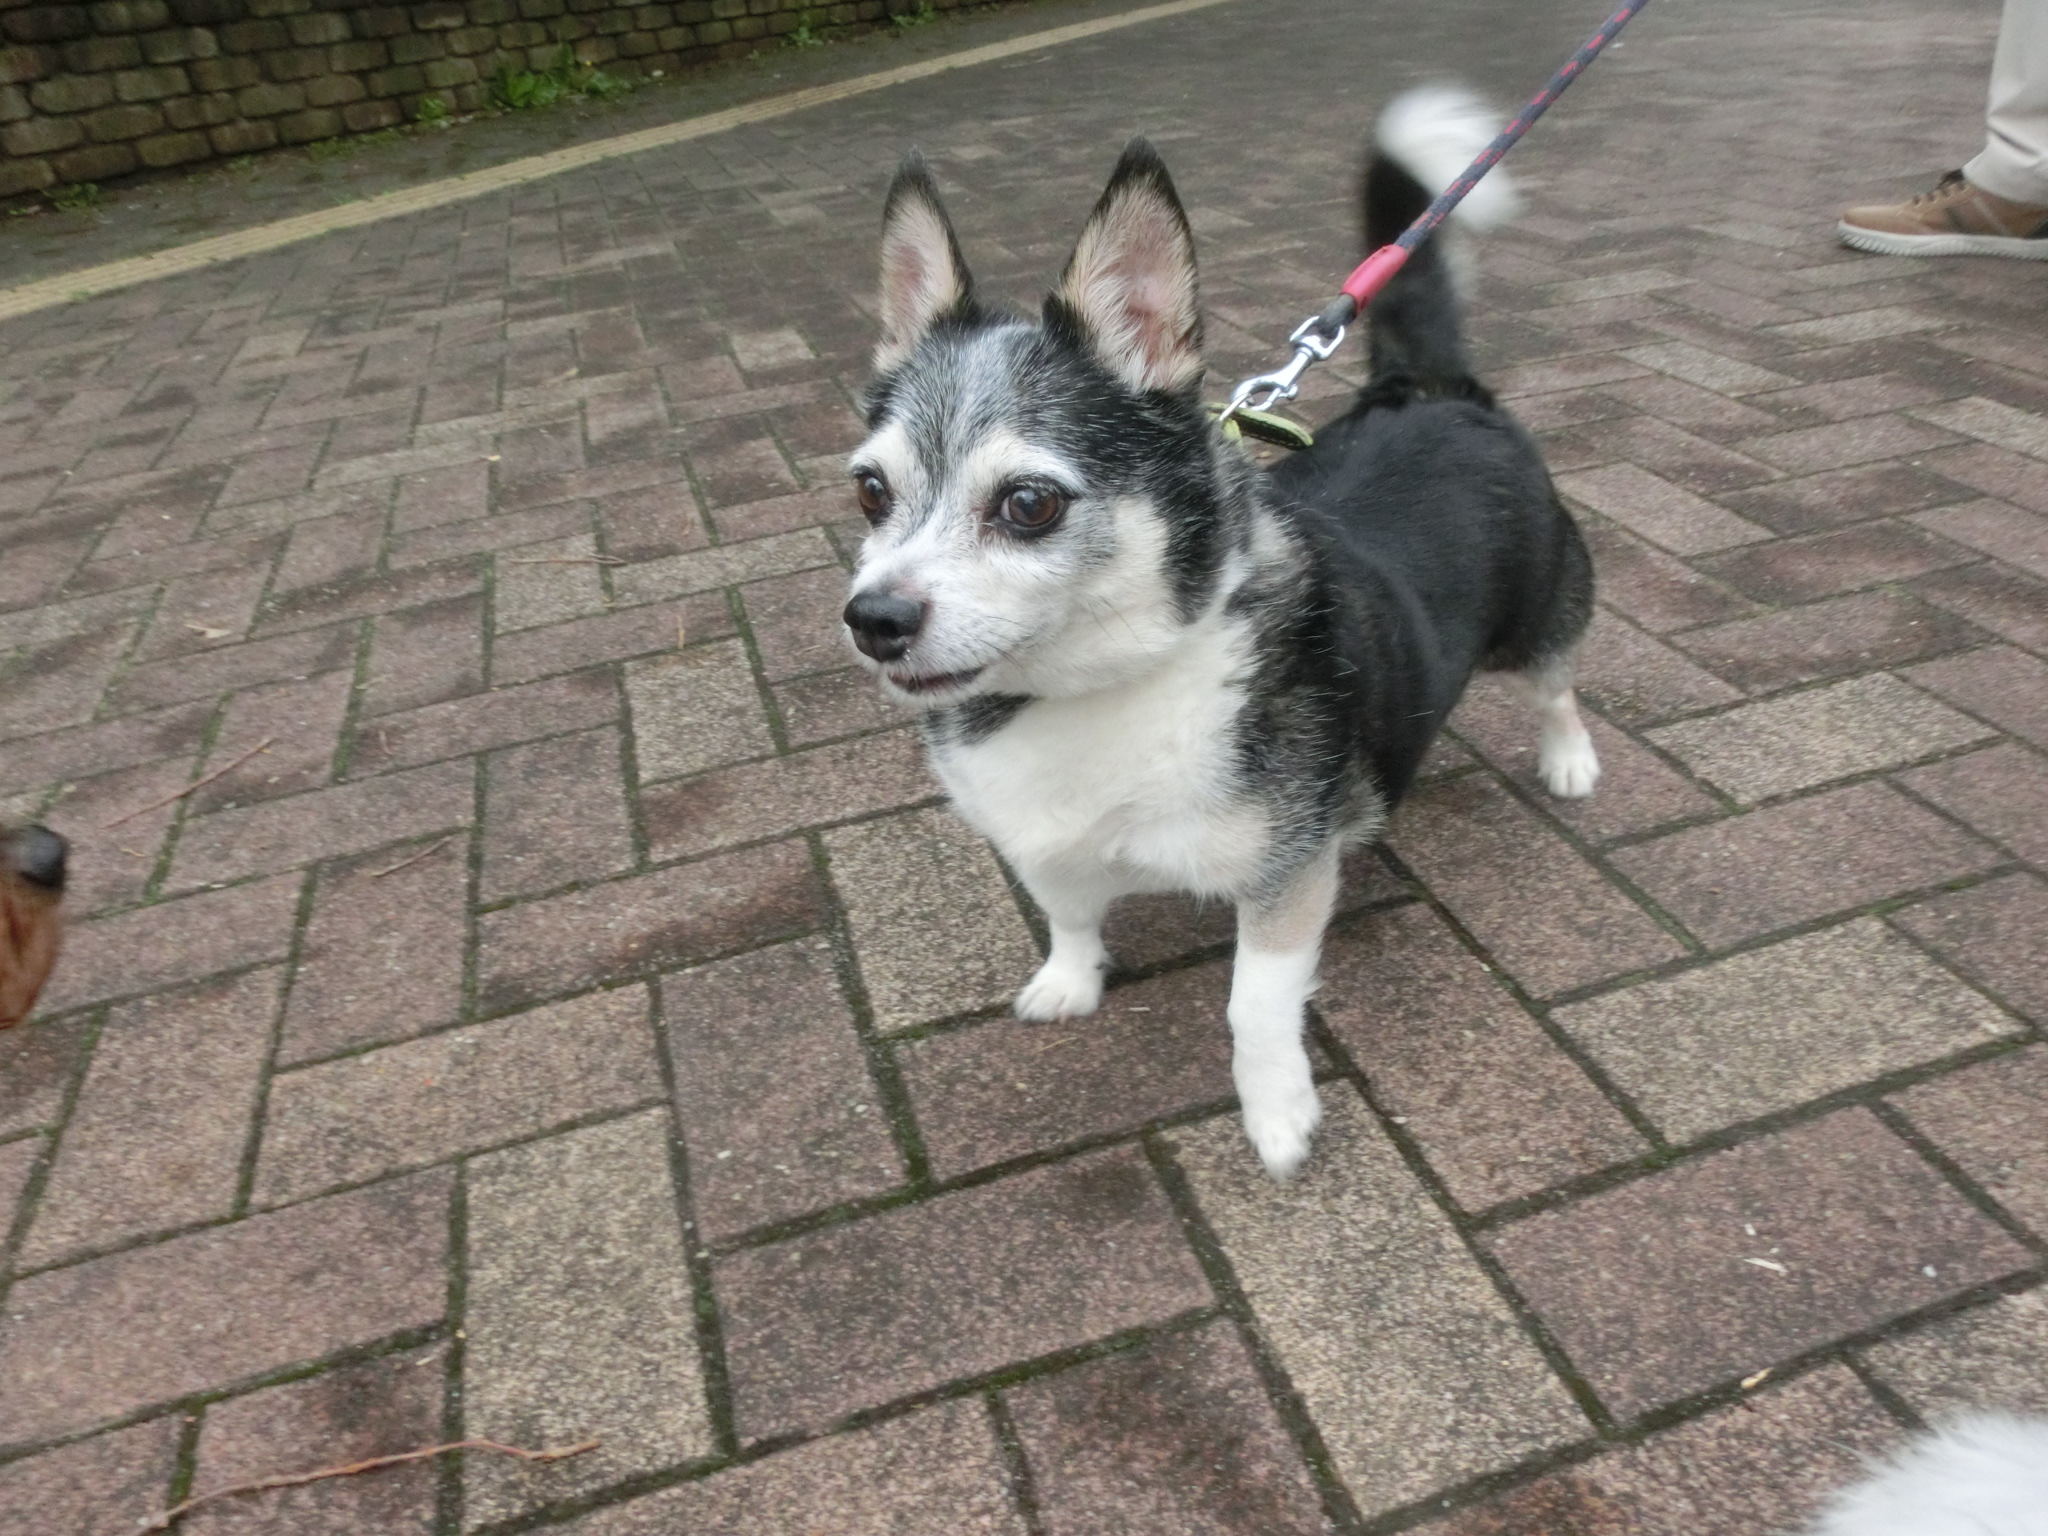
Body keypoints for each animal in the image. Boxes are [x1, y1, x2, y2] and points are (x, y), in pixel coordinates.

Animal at [840, 89, 1598, 1178]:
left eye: (1028, 503)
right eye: (869, 490)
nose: (874, 620)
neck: (1095, 687)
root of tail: (1429, 387)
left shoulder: (1286, 878)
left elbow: (1255, 1006)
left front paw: (1277, 1116)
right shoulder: (1040, 847)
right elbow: (1068, 913)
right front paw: (1069, 982)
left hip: (1543, 610)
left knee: (1556, 681)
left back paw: (1570, 759)